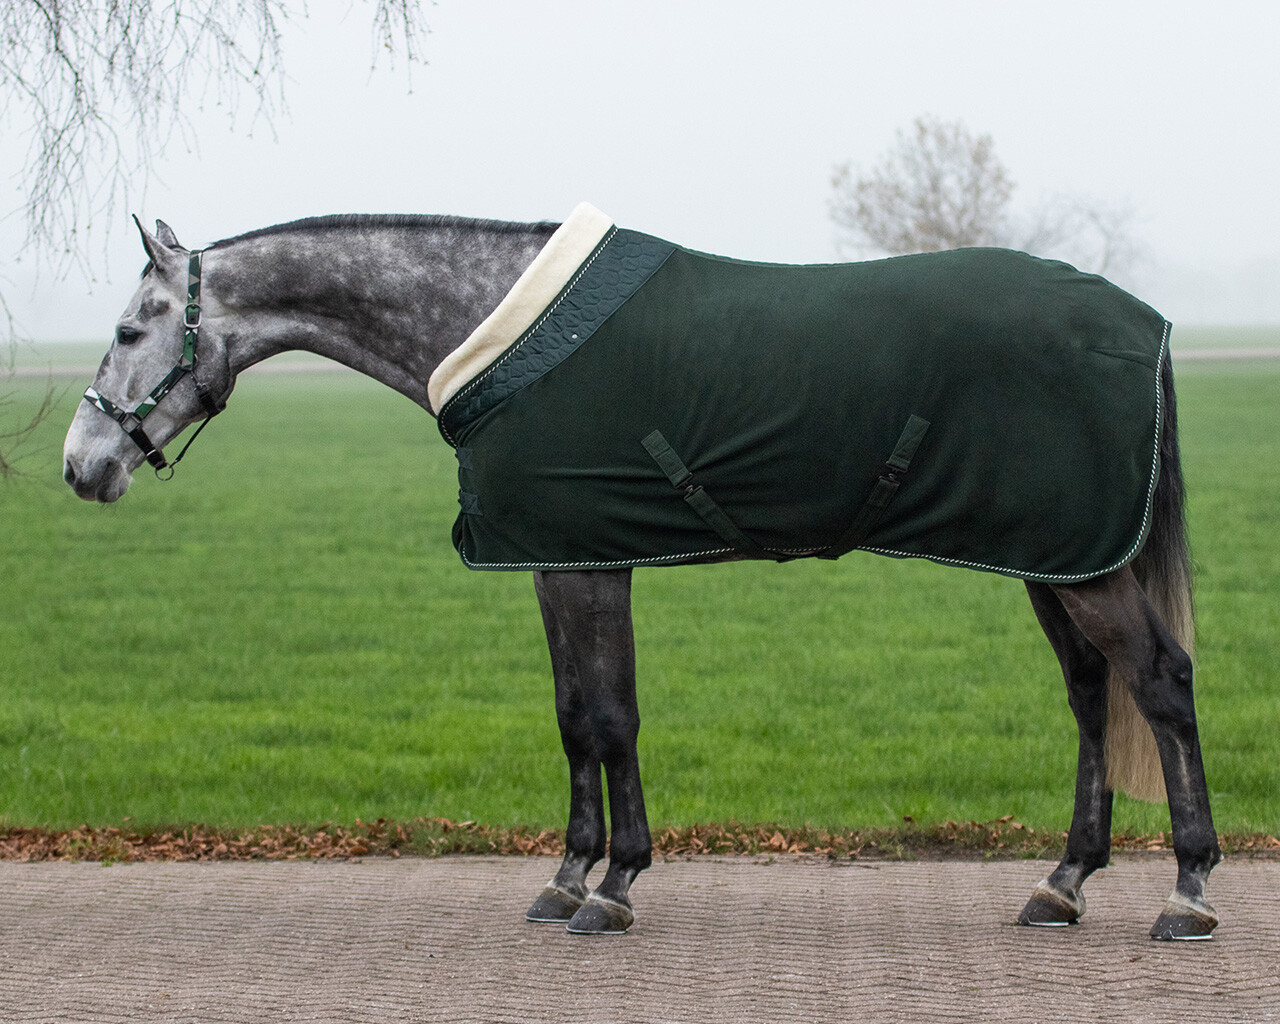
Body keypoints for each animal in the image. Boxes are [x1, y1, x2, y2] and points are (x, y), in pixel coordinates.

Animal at [62, 206, 1221, 940]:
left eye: (127, 327)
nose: (83, 465)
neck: (498, 329)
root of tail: (1145, 322)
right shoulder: (557, 559)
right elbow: (575, 716)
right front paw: (568, 873)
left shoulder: (591, 564)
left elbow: (611, 716)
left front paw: (613, 886)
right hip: (1052, 556)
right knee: (1091, 696)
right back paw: (1061, 883)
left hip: (1080, 564)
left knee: (1159, 685)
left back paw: (1188, 891)